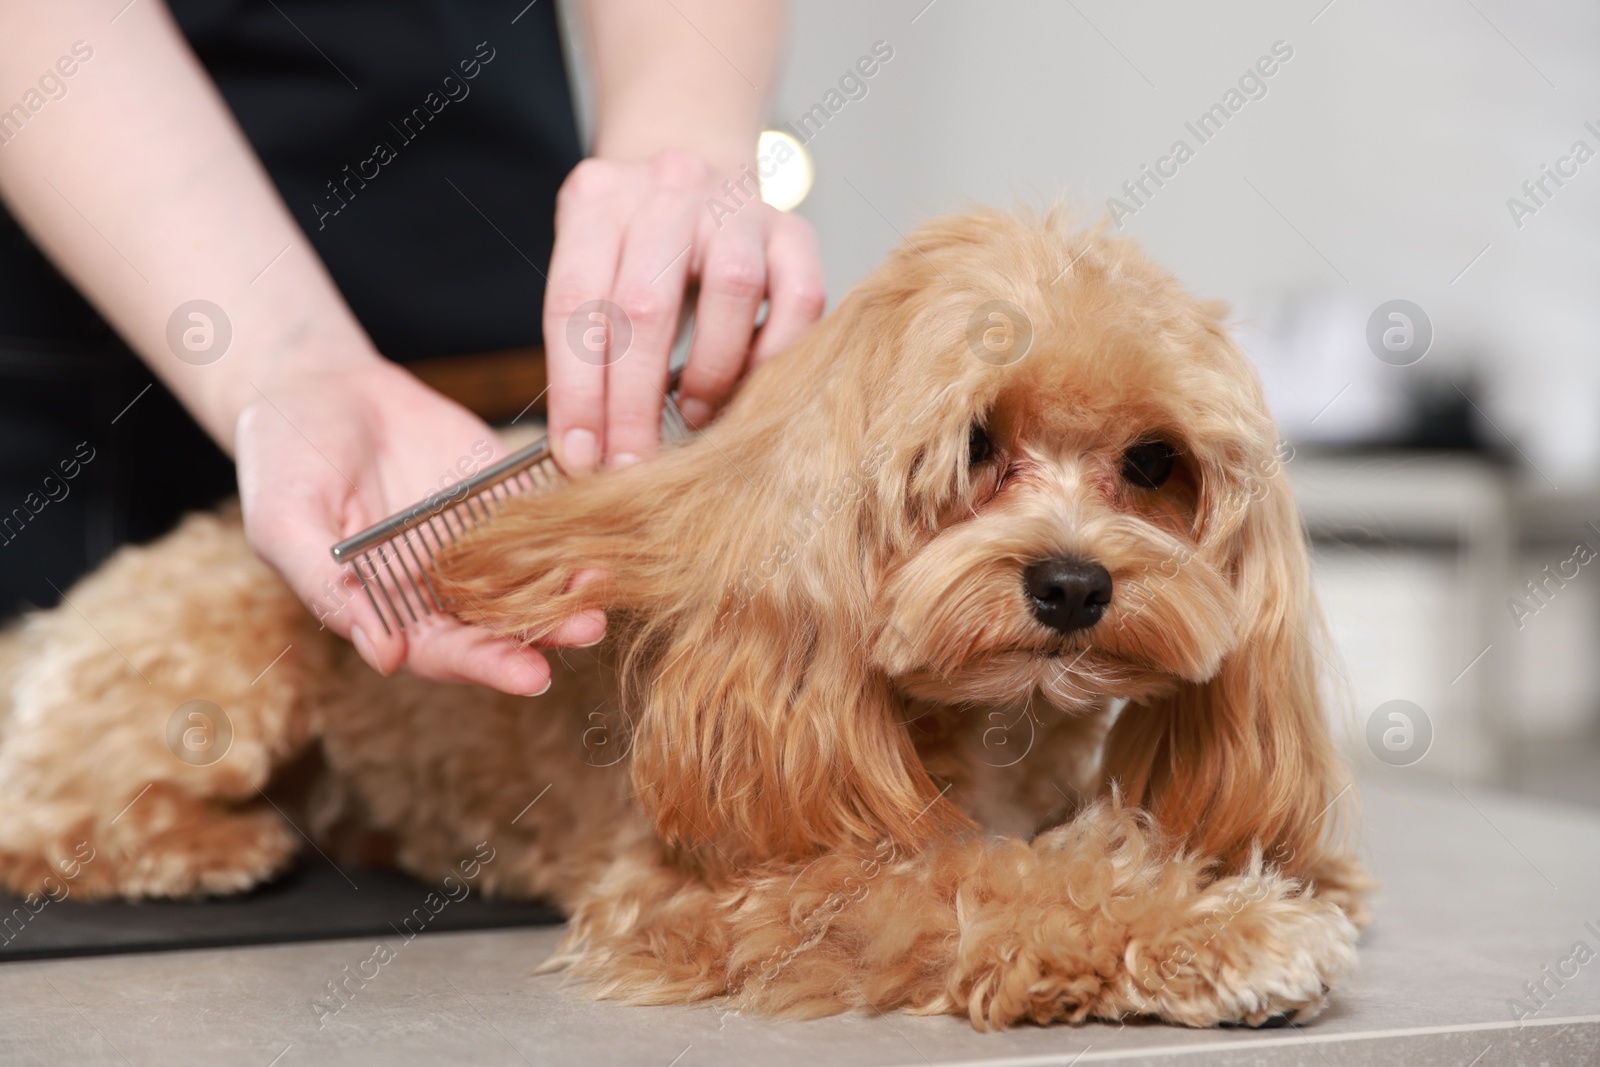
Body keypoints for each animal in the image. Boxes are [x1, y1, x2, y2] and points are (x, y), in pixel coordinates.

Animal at [3, 204, 1376, 1030]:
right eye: (975, 442)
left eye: (1151, 463)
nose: (1075, 584)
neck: (994, 728)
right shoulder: (710, 888)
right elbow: (976, 881)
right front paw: (1221, 928)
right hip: (215, 680)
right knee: (46, 824)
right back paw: (208, 843)